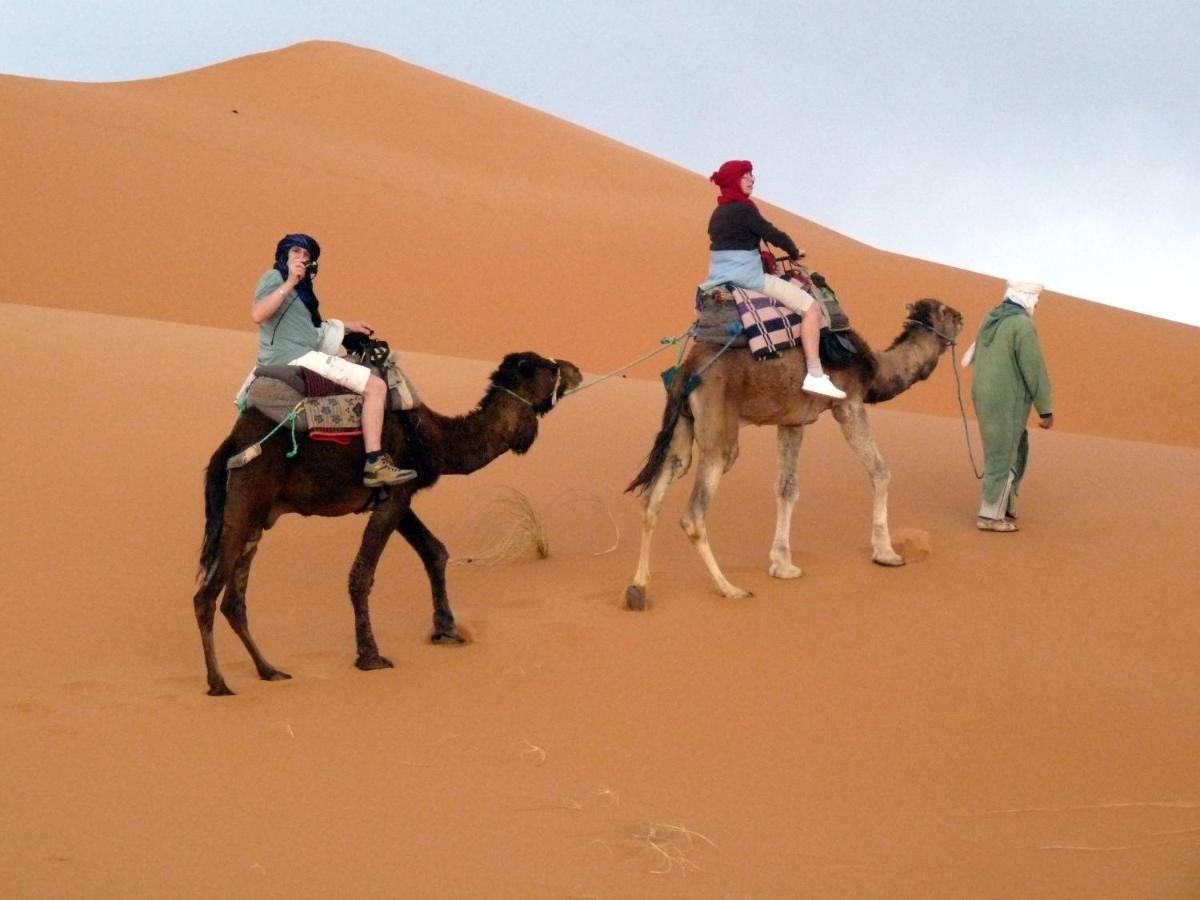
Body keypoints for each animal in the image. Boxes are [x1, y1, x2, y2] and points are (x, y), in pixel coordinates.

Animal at [195, 352, 580, 696]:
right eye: (547, 367)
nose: (574, 368)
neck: (434, 438)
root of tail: (231, 441)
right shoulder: (394, 495)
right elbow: (362, 573)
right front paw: (371, 656)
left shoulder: (398, 494)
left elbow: (435, 551)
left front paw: (447, 631)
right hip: (247, 495)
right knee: (206, 594)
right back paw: (218, 683)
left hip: (256, 517)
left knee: (234, 600)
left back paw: (269, 670)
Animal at [624, 300, 960, 609]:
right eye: (947, 311)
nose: (962, 317)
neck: (873, 368)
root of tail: (689, 369)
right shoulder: (848, 404)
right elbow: (880, 470)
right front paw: (887, 553)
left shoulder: (793, 419)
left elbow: (787, 487)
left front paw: (783, 565)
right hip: (719, 432)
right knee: (694, 513)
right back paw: (730, 588)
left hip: (683, 423)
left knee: (657, 491)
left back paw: (638, 588)